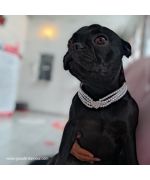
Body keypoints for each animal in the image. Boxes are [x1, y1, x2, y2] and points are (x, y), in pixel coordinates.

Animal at [46, 24, 139, 165]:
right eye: (70, 42)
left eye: (100, 40)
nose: (75, 45)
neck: (98, 93)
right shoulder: (71, 128)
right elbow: (62, 156)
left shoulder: (128, 136)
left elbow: (132, 159)